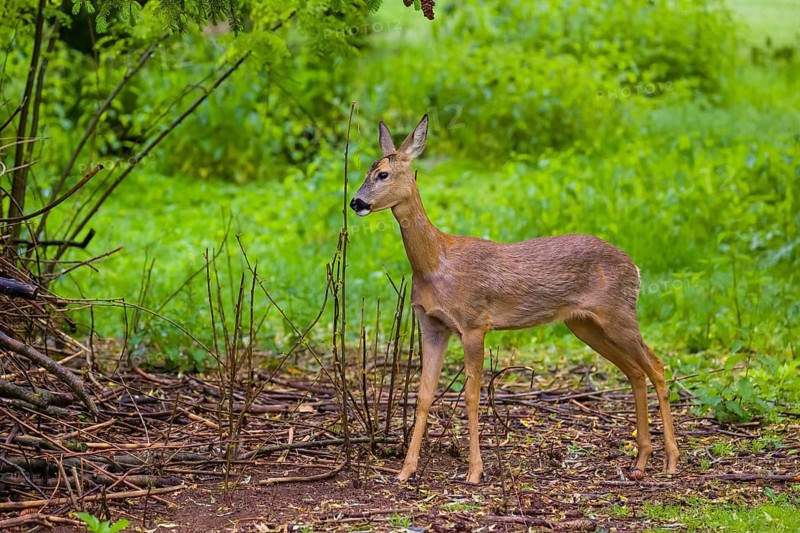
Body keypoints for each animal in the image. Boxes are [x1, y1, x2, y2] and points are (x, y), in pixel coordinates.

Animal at [349, 115, 679, 484]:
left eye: (382, 174)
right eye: (367, 169)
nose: (356, 202)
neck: (436, 263)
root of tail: (635, 267)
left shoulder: (474, 323)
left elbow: (471, 395)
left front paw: (474, 472)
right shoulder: (431, 324)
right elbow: (422, 395)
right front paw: (405, 471)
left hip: (618, 313)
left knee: (656, 366)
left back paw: (670, 461)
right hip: (584, 324)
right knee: (635, 371)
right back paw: (640, 461)